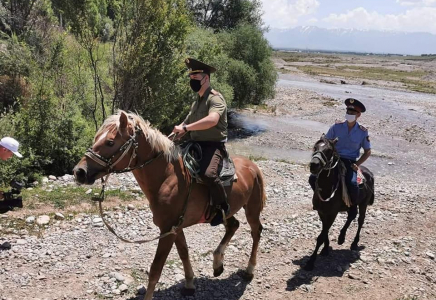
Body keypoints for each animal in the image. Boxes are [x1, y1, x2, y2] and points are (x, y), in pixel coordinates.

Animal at [72, 110, 266, 300]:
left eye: (110, 142)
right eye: (97, 138)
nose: (79, 172)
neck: (167, 177)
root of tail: (253, 166)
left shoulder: (167, 230)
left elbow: (155, 269)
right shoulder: (175, 228)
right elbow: (183, 253)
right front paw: (189, 284)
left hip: (252, 209)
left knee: (255, 232)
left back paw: (249, 270)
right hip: (226, 212)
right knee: (233, 225)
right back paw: (218, 264)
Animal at [306, 135, 374, 270]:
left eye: (328, 150)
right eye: (315, 147)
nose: (314, 165)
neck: (327, 188)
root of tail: (369, 173)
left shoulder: (333, 213)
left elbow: (321, 236)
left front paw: (311, 261)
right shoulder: (322, 212)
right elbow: (324, 231)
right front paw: (325, 249)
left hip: (363, 204)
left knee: (360, 220)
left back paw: (354, 243)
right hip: (352, 205)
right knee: (352, 215)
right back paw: (341, 237)